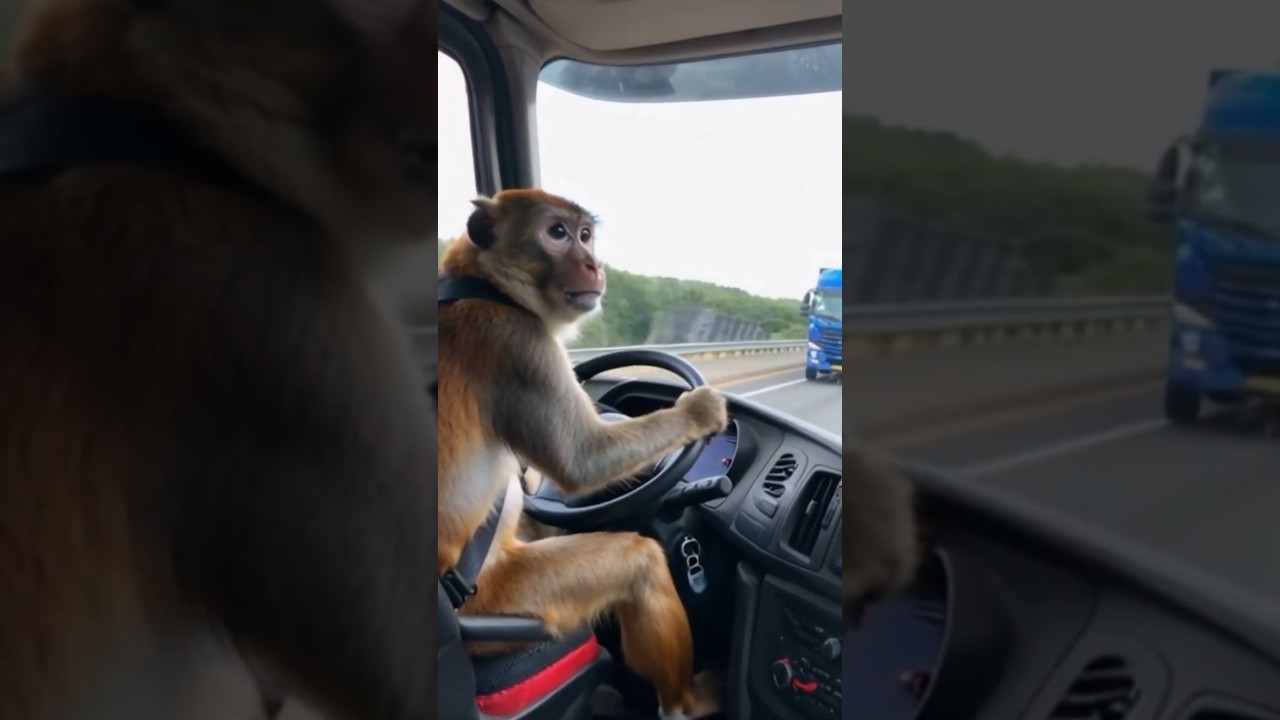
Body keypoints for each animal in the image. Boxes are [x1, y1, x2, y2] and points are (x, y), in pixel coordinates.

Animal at [437, 189, 731, 718]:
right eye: (558, 233)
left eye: (586, 235)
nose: (594, 264)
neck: (485, 284)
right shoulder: (521, 345)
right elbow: (581, 460)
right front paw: (698, 411)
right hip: (505, 602)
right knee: (640, 563)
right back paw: (684, 702)